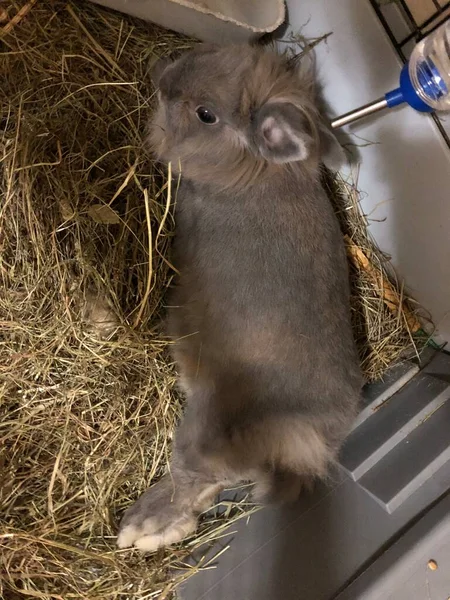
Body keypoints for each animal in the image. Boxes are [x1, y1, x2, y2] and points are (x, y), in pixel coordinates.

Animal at [117, 44, 362, 552]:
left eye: (206, 114)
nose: (163, 78)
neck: (254, 169)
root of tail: (312, 443)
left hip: (205, 427)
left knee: (194, 475)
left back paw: (142, 529)